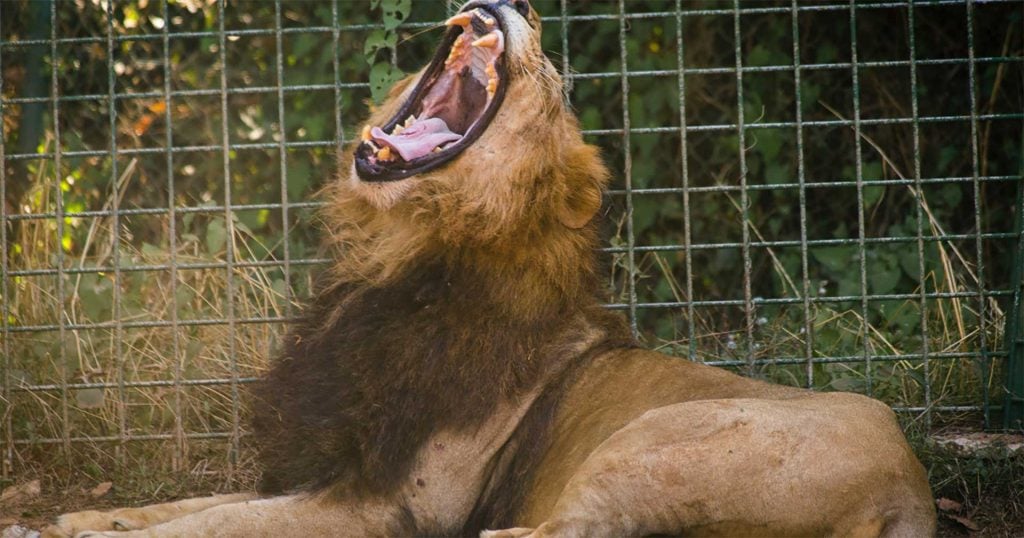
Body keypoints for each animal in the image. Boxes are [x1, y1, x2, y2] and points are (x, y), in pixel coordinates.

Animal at [45, 0, 936, 536]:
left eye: (551, 84)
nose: (522, 6)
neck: (394, 257)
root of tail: (909, 493)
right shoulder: (329, 469)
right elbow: (198, 501)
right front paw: (90, 521)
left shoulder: (383, 510)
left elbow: (217, 521)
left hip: (659, 440)